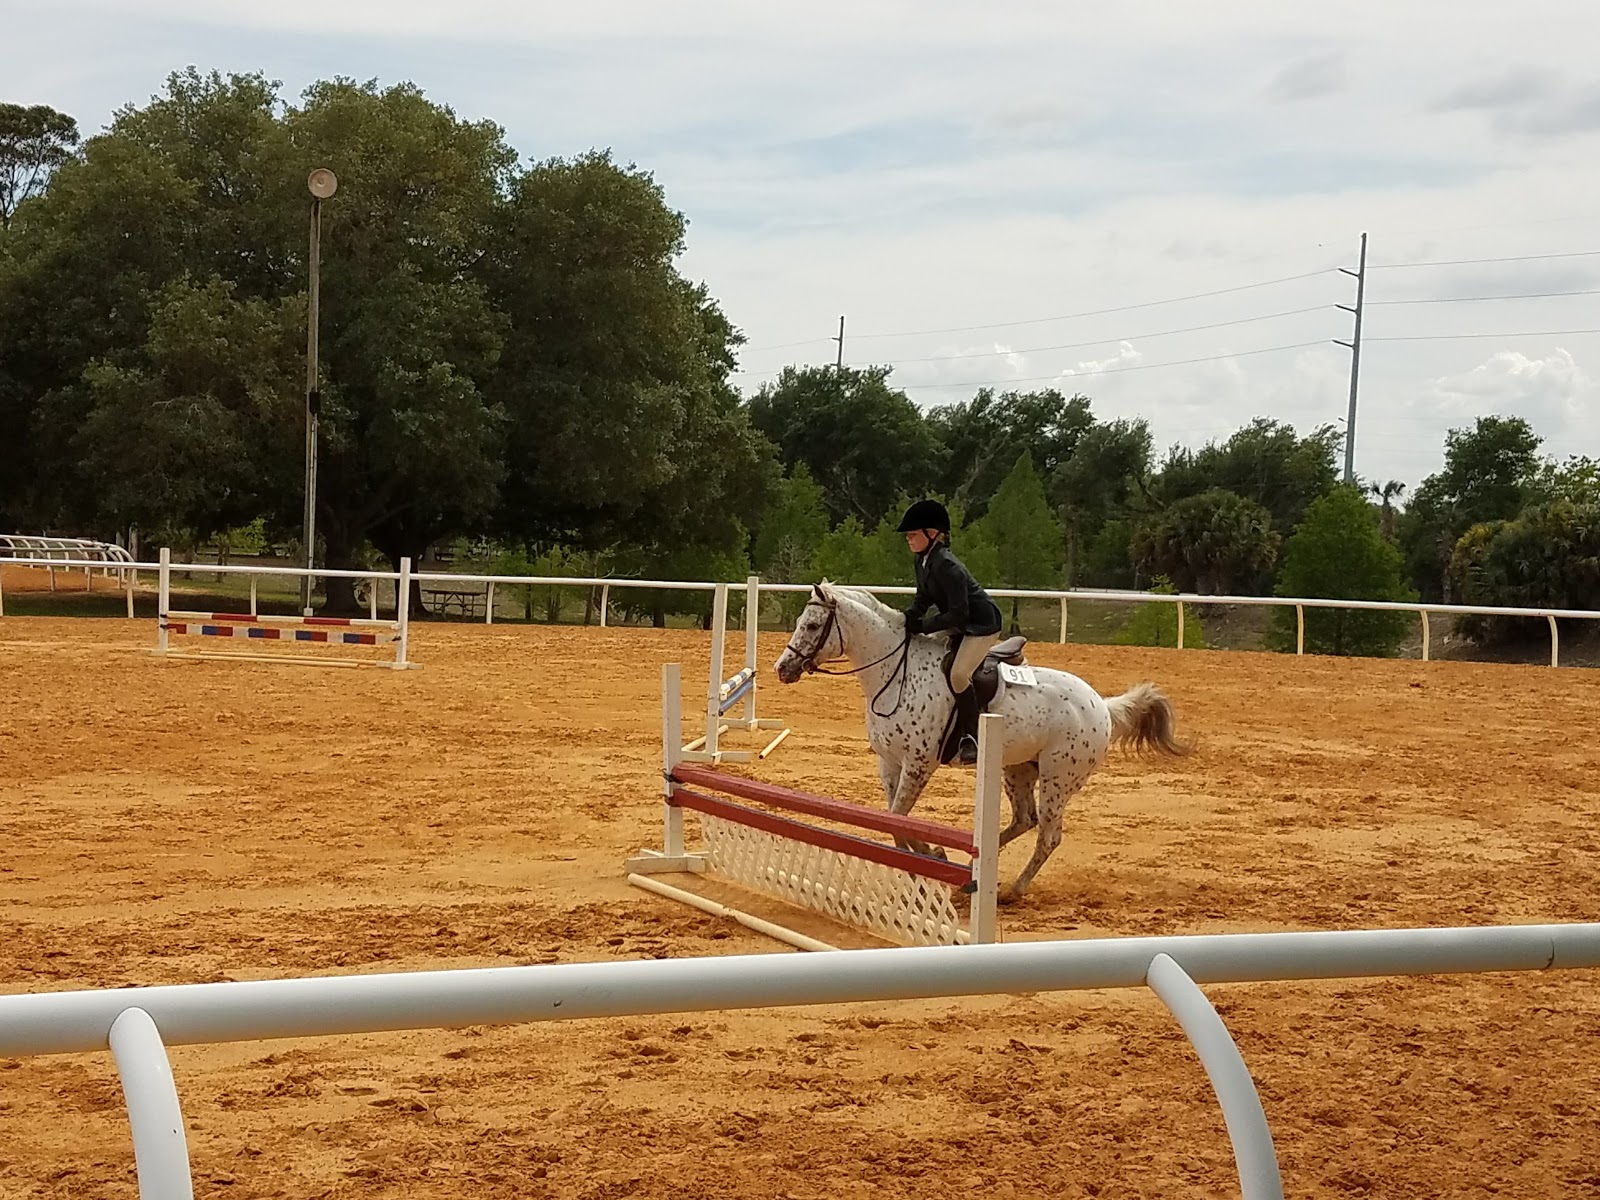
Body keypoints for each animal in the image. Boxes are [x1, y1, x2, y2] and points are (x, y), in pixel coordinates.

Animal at [773, 581, 1191, 902]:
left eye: (812, 624)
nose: (783, 669)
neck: (894, 671)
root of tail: (1101, 705)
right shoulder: (890, 761)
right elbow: (894, 818)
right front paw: (928, 861)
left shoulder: (918, 763)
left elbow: (898, 817)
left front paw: (933, 857)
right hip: (1017, 768)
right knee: (1024, 819)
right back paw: (975, 869)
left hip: (1058, 777)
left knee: (1048, 835)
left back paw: (1013, 891)